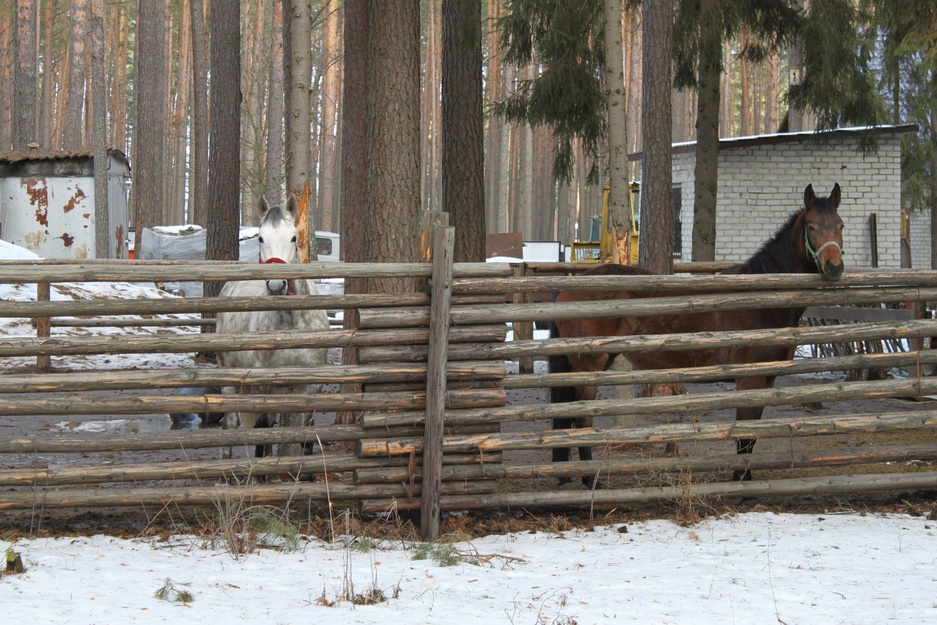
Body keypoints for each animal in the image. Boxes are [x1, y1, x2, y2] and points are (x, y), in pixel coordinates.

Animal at [216, 196, 330, 458]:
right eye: (260, 238)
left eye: (294, 238)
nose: (277, 285)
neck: (291, 324)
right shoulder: (263, 386)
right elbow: (263, 435)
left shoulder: (311, 386)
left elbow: (306, 439)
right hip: (230, 376)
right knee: (231, 424)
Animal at [552, 183, 844, 486]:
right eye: (811, 226)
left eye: (840, 225)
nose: (834, 267)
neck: (762, 298)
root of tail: (567, 289)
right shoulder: (749, 380)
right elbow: (744, 435)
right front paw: (741, 481)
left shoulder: (767, 380)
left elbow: (752, 436)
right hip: (590, 366)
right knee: (582, 420)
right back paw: (590, 480)